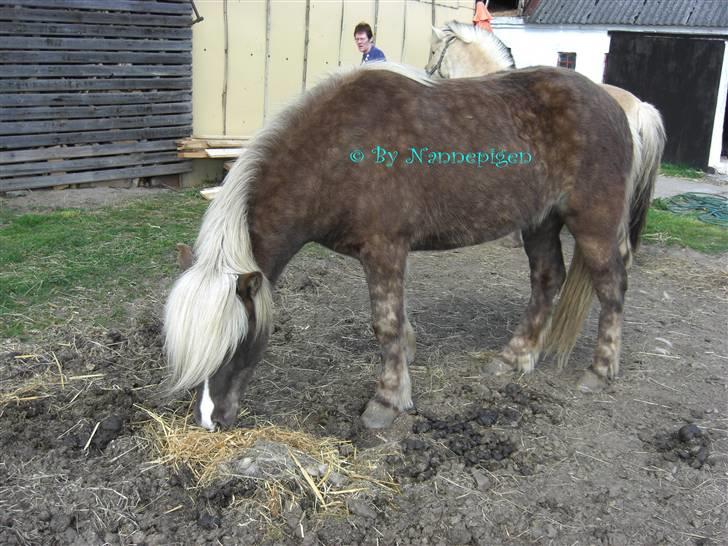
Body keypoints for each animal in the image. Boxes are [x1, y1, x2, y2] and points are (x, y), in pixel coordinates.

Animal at [166, 62, 656, 430]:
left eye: (237, 343)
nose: (210, 420)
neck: (335, 152)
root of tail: (621, 107)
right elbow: (398, 322)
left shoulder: (384, 250)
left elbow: (385, 325)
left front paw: (386, 401)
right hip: (539, 222)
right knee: (547, 278)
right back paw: (514, 358)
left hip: (592, 224)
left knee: (611, 286)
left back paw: (599, 371)